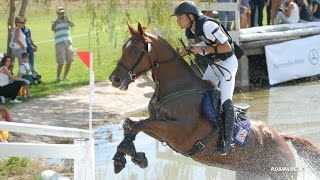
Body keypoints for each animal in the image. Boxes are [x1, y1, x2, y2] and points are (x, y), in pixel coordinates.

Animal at [109, 22, 320, 179]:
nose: (115, 79)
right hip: (249, 172)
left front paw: (127, 157)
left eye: (135, 51)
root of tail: (282, 138)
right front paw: (129, 155)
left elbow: (138, 125)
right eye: (123, 48)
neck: (177, 87)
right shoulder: (161, 129)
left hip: (282, 172)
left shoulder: (178, 132)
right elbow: (130, 124)